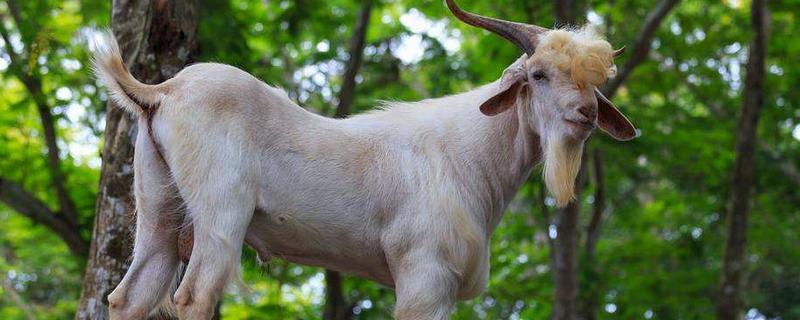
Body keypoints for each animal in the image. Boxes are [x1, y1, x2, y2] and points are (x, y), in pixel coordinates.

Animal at [94, 1, 636, 318]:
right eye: (539, 74)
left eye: (595, 84)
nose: (585, 114)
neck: (468, 153)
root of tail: (162, 91)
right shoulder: (424, 274)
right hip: (220, 211)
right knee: (194, 295)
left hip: (157, 209)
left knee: (128, 296)